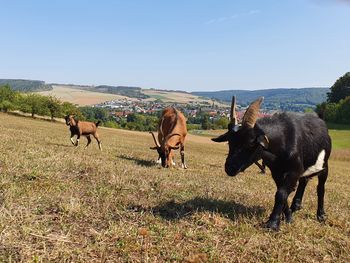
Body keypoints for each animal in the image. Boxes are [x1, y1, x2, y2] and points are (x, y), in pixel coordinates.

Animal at [213, 97, 330, 231]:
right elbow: (282, 192)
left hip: (324, 166)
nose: (229, 168)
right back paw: (296, 205)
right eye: (229, 142)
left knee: (320, 188)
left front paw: (272, 224)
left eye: (250, 144)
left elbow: (281, 194)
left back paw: (321, 215)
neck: (284, 139)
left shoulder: (294, 170)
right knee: (304, 181)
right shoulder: (276, 172)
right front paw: (288, 217)